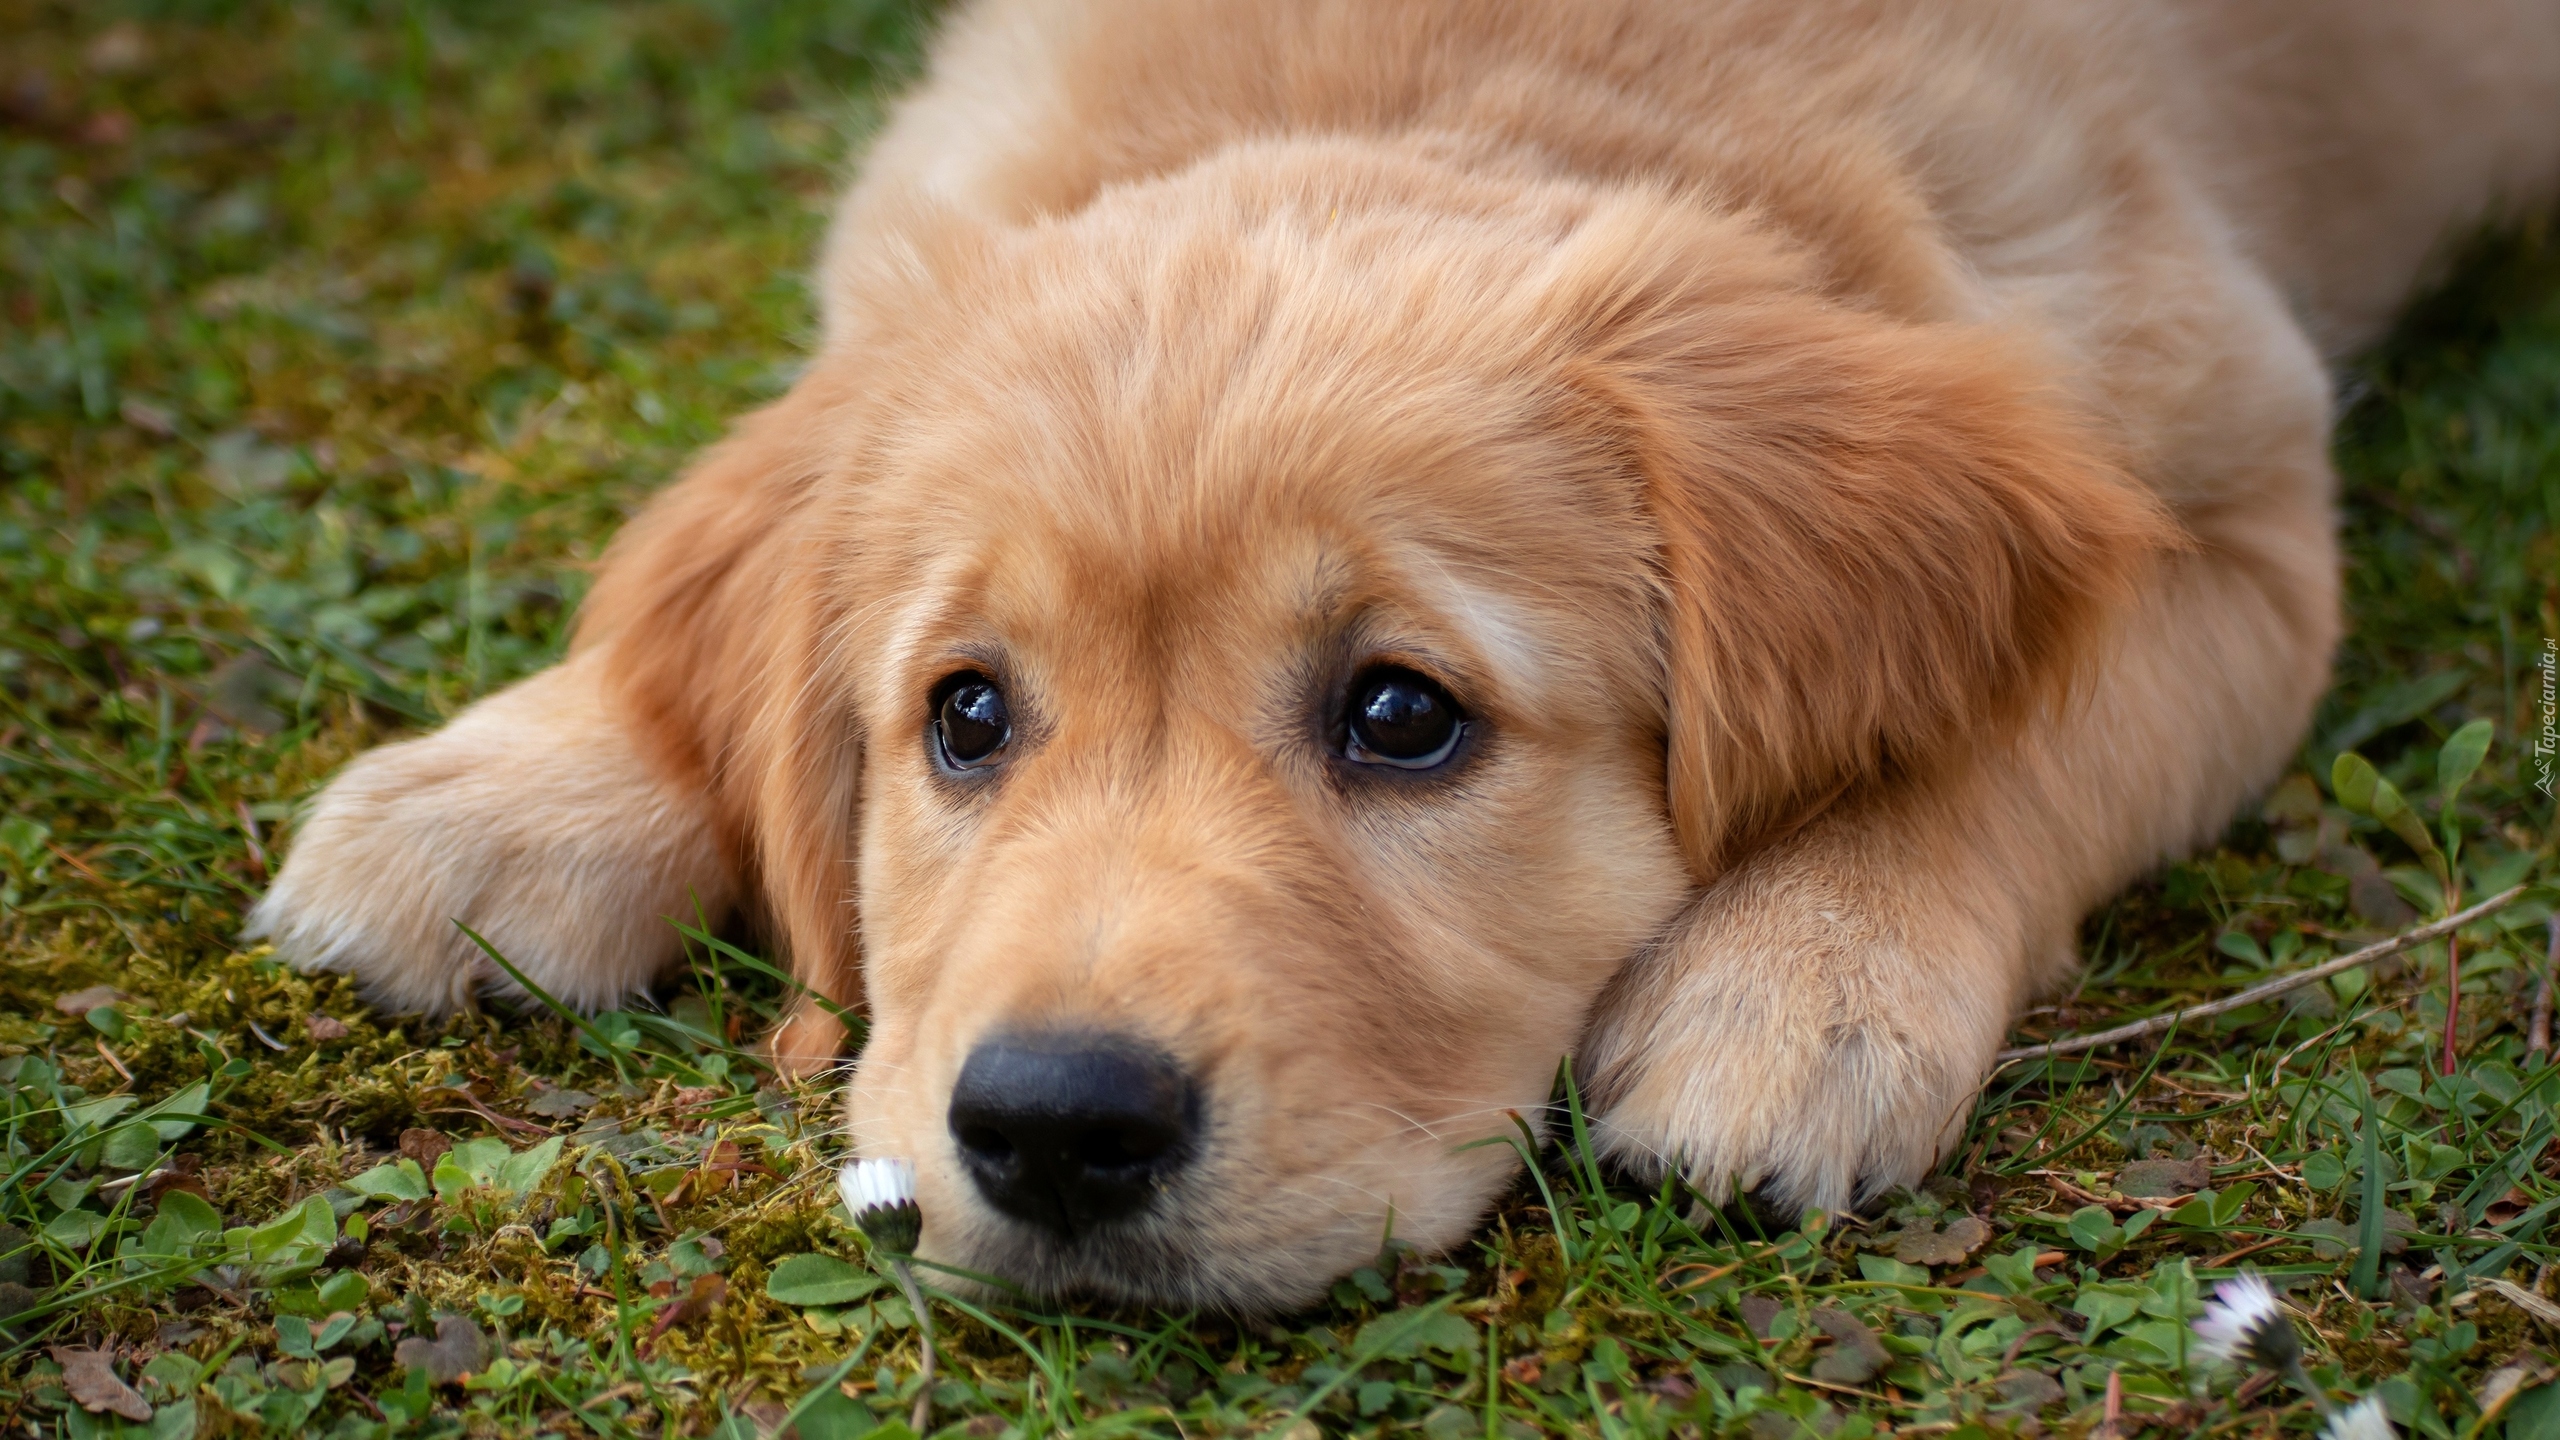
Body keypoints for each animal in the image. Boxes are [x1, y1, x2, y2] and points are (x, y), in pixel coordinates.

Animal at [244, 0, 2560, 1301]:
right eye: (962, 715)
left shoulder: (2235, 513)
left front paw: (1805, 976)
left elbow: (2012, 733)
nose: (1054, 1130)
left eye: (1401, 716)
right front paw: (513, 785)